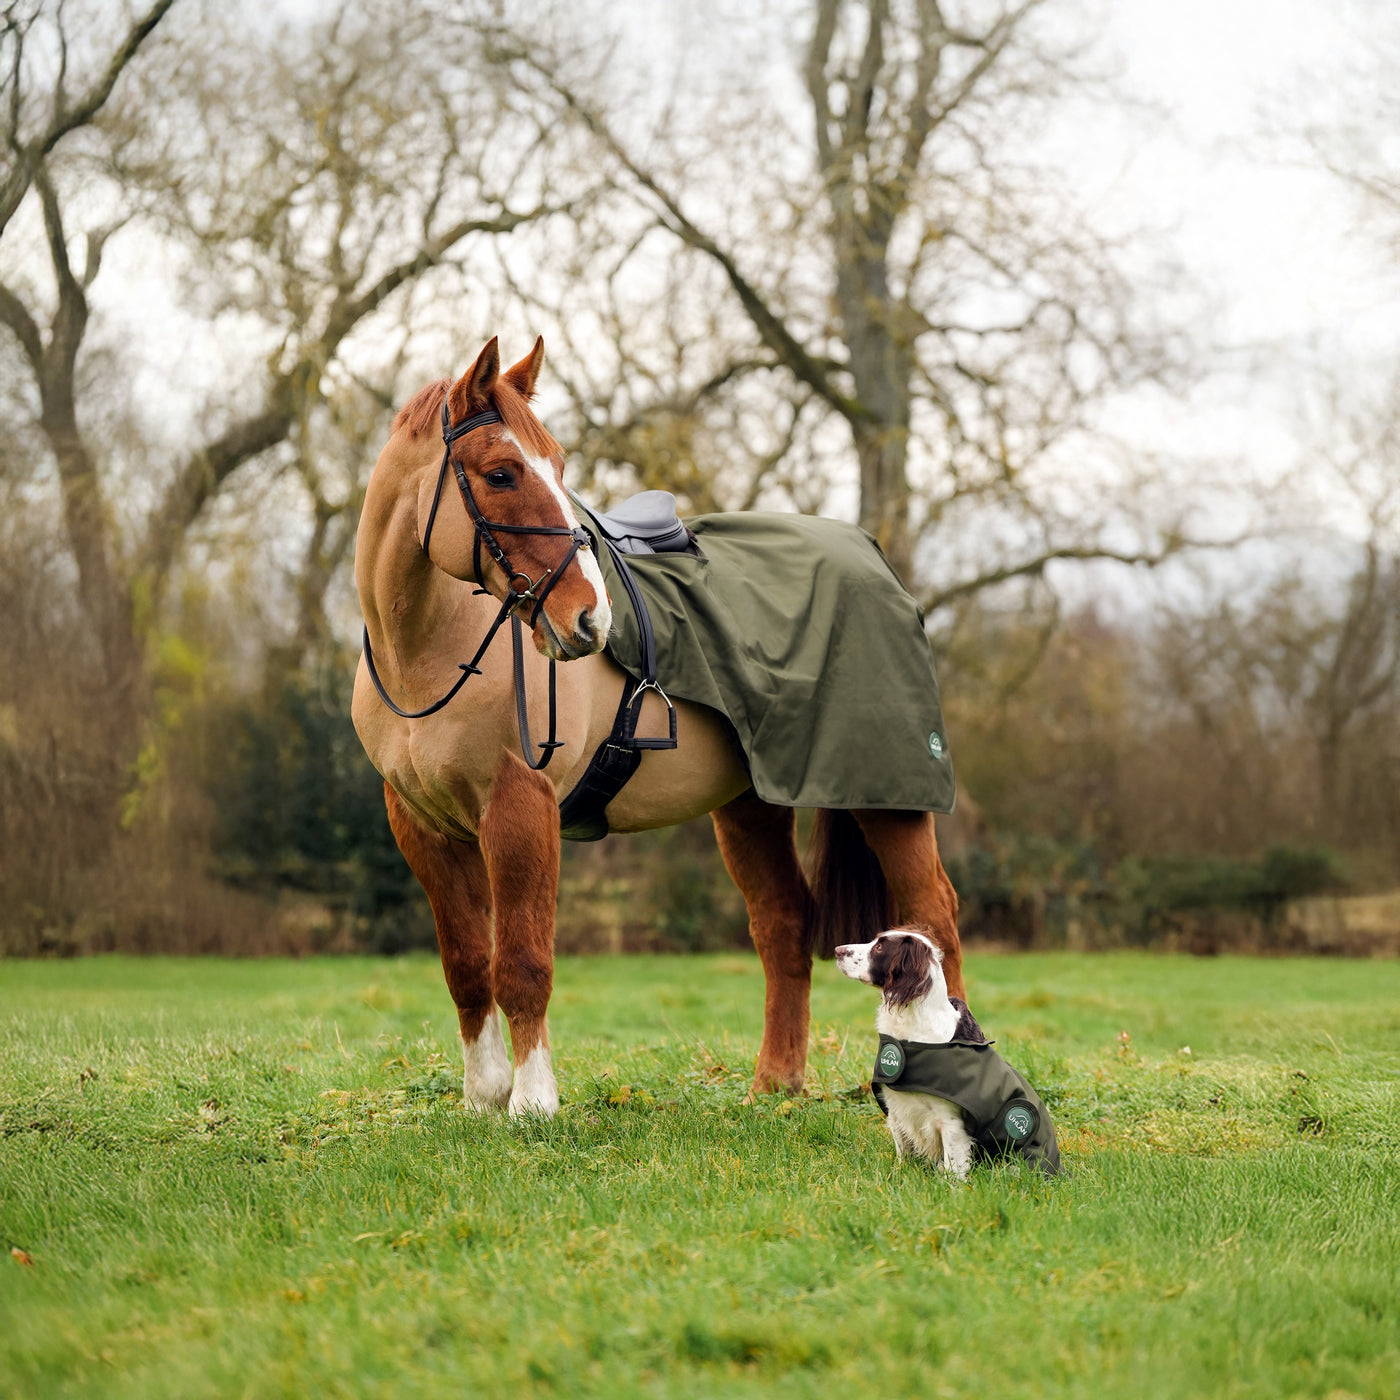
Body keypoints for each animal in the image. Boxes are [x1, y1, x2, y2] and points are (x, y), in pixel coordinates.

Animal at [352, 338, 963, 1114]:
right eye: (501, 473)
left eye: (557, 466)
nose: (590, 620)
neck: (429, 654)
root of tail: (871, 555)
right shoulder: (423, 827)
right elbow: (466, 966)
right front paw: (484, 1097)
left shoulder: (519, 808)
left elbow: (521, 962)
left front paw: (532, 1103)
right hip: (749, 806)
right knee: (784, 923)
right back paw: (773, 1085)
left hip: (887, 797)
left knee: (934, 917)